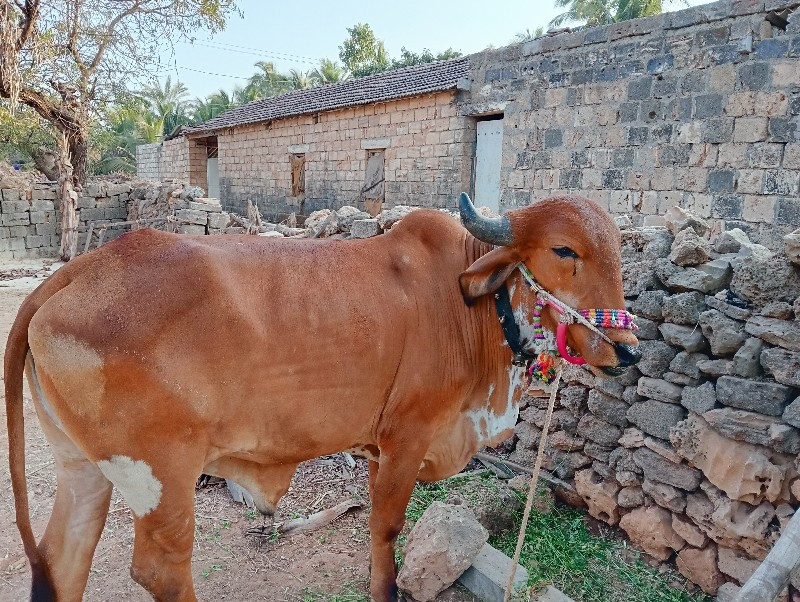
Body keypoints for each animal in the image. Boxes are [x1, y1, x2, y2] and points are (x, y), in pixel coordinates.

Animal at [4, 193, 636, 600]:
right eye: (564, 251)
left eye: (618, 252)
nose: (625, 350)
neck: (467, 306)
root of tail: (70, 275)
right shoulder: (407, 436)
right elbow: (386, 528)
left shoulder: (379, 447)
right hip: (160, 475)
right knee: (162, 572)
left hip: (85, 467)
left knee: (64, 558)